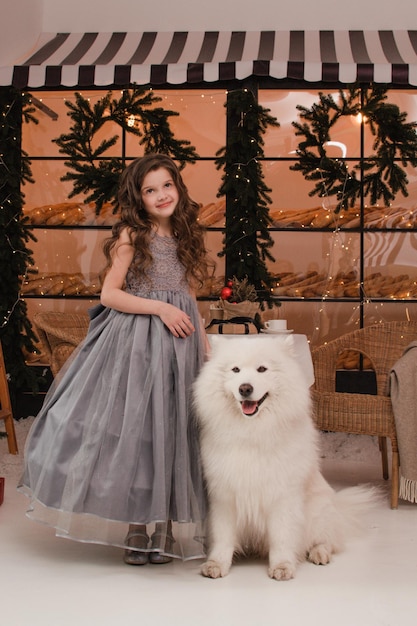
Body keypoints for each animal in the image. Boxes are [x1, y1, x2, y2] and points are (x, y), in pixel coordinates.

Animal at [193, 334, 378, 576]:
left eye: (262, 369)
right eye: (235, 369)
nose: (245, 388)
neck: (252, 432)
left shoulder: (282, 494)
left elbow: (282, 536)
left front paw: (282, 567)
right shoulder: (224, 495)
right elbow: (223, 537)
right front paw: (216, 565)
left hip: (317, 513)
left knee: (326, 540)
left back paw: (319, 554)